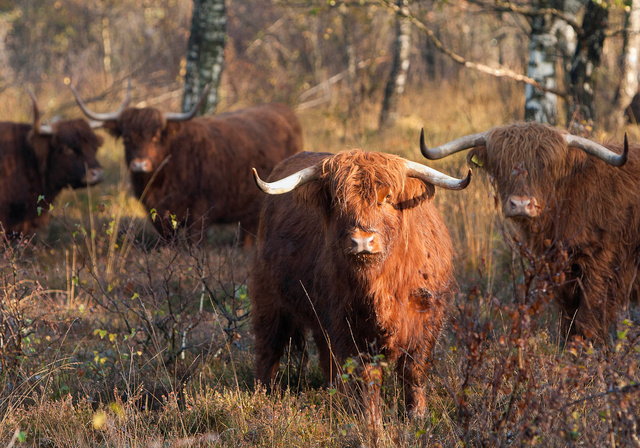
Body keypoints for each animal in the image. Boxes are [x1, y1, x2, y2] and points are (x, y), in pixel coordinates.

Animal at [71, 84, 302, 245]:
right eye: (127, 138)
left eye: (156, 137)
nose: (139, 165)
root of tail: (282, 109)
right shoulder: (157, 214)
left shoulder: (200, 212)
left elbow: (194, 244)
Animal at [250, 150, 470, 420]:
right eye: (338, 200)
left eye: (387, 197)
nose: (362, 241)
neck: (381, 284)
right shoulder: (349, 325)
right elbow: (366, 377)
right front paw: (371, 419)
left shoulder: (428, 315)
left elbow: (414, 368)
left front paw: (417, 414)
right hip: (268, 296)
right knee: (269, 344)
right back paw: (263, 394)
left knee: (323, 354)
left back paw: (332, 392)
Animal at [420, 121, 640, 340]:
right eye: (502, 165)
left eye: (545, 167)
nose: (521, 204)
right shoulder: (561, 271)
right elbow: (568, 320)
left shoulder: (602, 269)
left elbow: (588, 321)